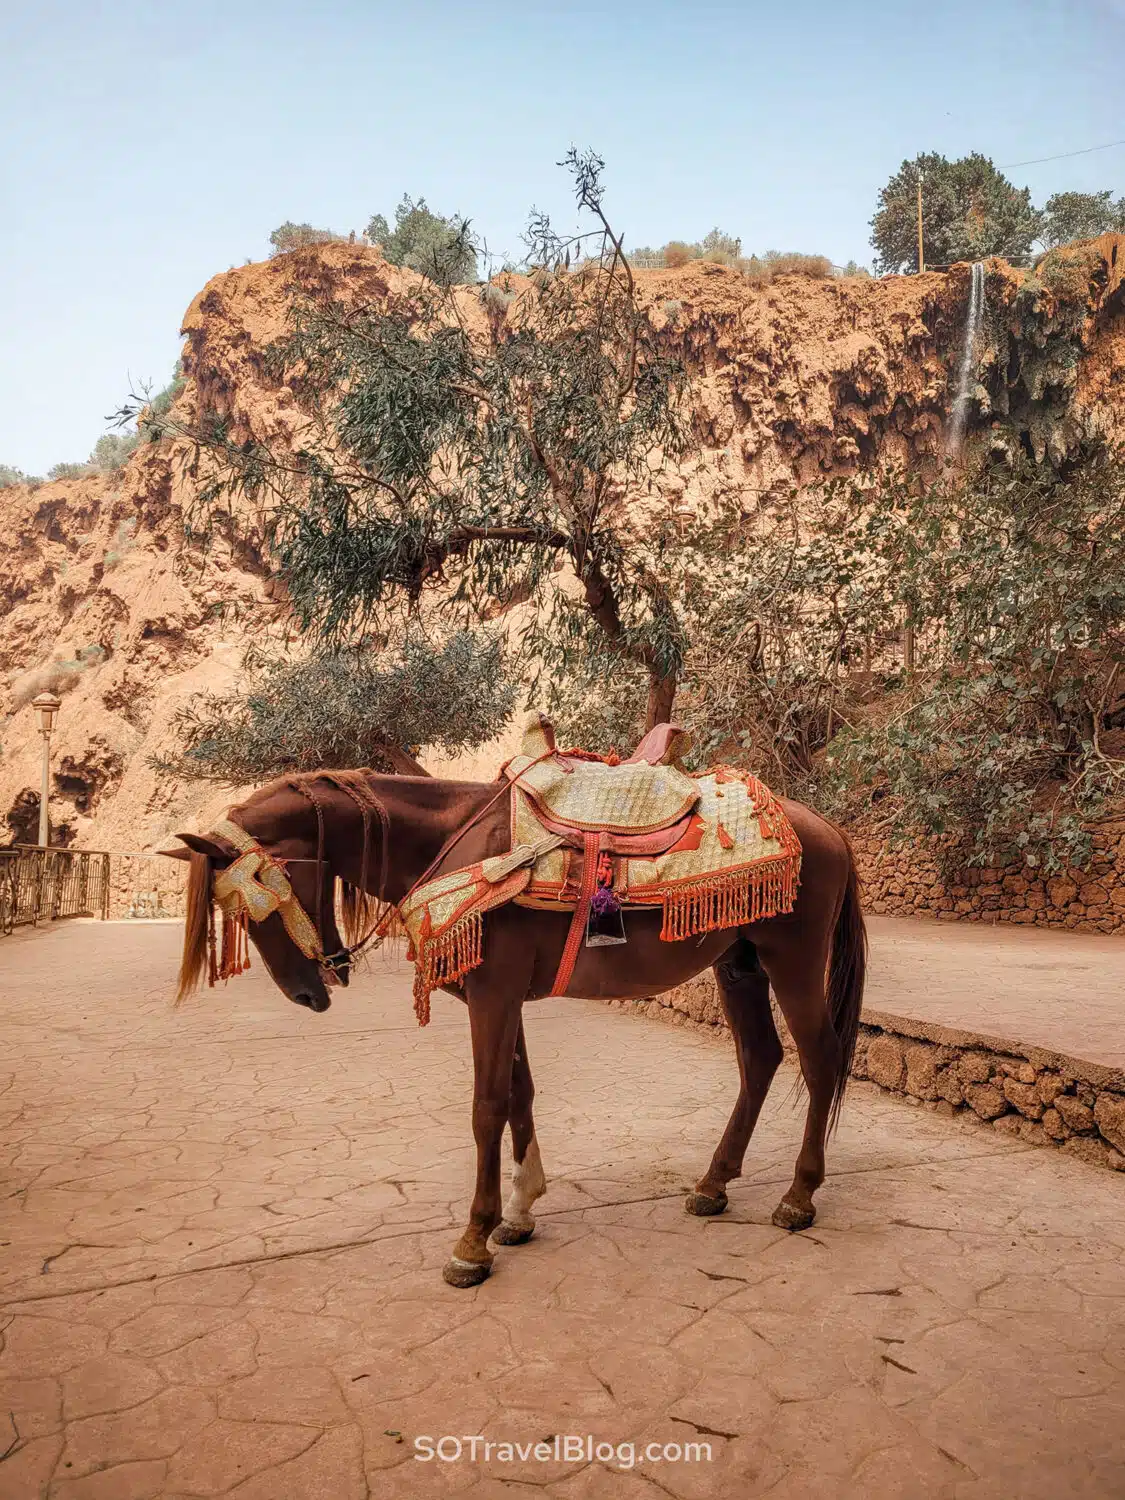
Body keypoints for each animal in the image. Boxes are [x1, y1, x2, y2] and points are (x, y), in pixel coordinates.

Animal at [169, 762, 870, 1290]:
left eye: (254, 902)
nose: (308, 992)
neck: (454, 845)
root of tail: (829, 829)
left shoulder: (494, 998)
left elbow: (488, 1107)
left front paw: (473, 1242)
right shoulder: (504, 1000)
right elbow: (520, 1094)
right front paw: (520, 1213)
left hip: (792, 961)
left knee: (819, 1060)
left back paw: (799, 1197)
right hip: (738, 964)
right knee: (760, 1059)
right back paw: (713, 1184)